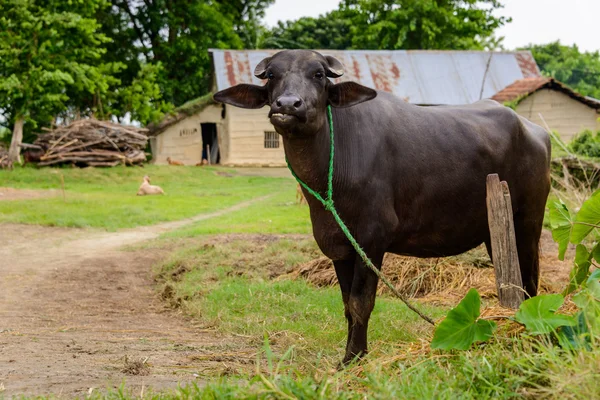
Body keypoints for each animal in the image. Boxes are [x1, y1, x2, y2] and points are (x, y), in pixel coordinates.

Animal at [213, 49, 552, 362]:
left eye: (318, 74)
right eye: (272, 75)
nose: (287, 105)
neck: (331, 173)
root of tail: (535, 132)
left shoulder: (372, 240)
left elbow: (362, 302)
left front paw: (353, 357)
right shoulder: (339, 245)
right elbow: (347, 304)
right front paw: (352, 354)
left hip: (529, 222)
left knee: (530, 280)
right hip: (495, 230)